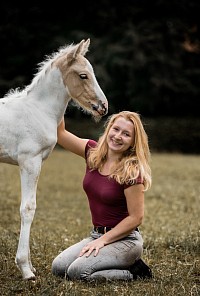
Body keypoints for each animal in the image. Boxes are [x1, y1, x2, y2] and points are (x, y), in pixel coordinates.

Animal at [0, 38, 108, 280]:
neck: (38, 110)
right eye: (83, 75)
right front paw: (25, 269)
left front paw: (30, 266)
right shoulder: (29, 161)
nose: (103, 106)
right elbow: (28, 208)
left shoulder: (36, 162)